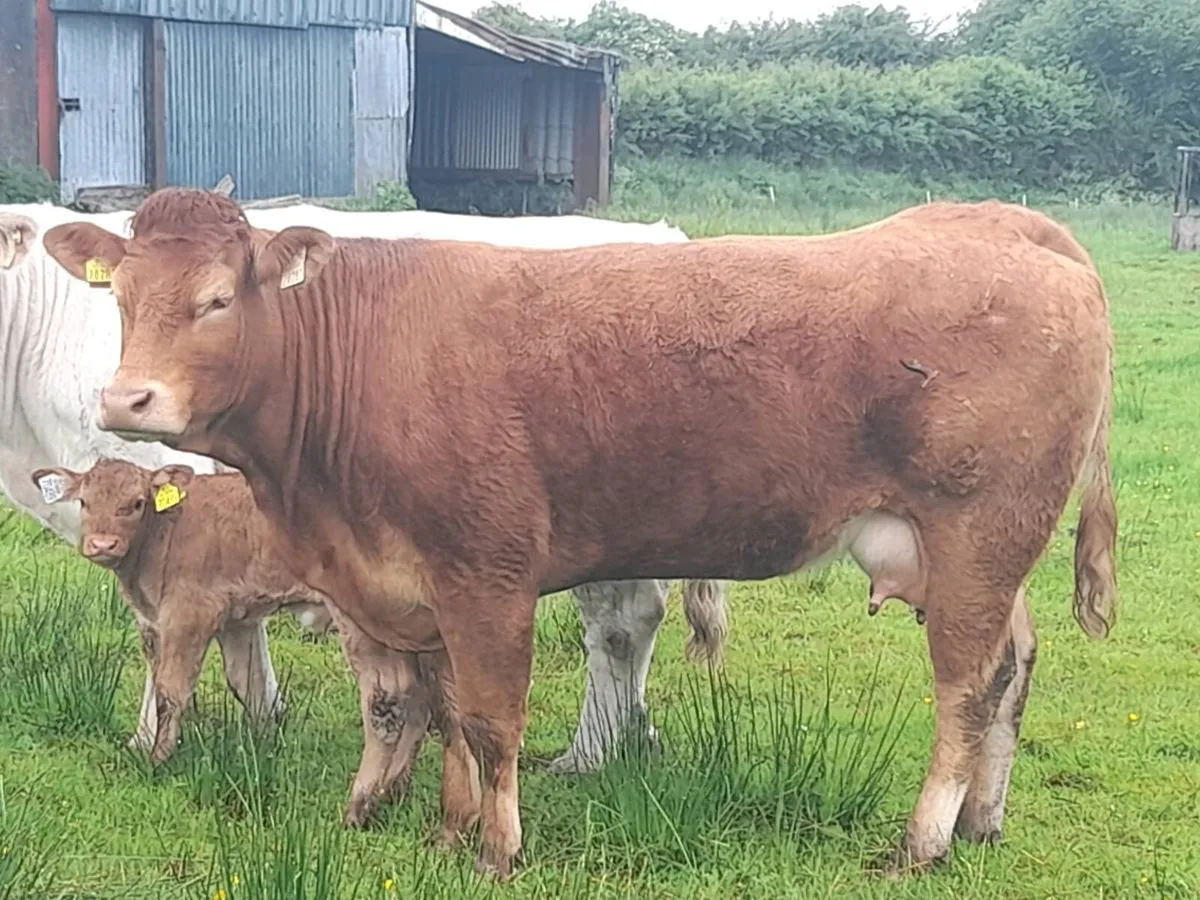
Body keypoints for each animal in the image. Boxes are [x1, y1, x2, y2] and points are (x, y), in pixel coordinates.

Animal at [2, 202, 727, 776]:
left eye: (214, 302)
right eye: (119, 298)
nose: (126, 399)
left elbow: (162, 642)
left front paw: (148, 739)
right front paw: (265, 719)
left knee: (618, 626)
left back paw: (588, 755)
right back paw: (634, 736)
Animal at [28, 457, 478, 832]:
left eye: (136, 503)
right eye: (85, 502)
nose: (102, 545)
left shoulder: (190, 614)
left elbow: (171, 690)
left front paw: (158, 760)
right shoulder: (233, 621)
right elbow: (248, 686)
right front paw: (263, 752)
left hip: (365, 627)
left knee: (389, 700)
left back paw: (360, 807)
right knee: (429, 703)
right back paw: (397, 793)